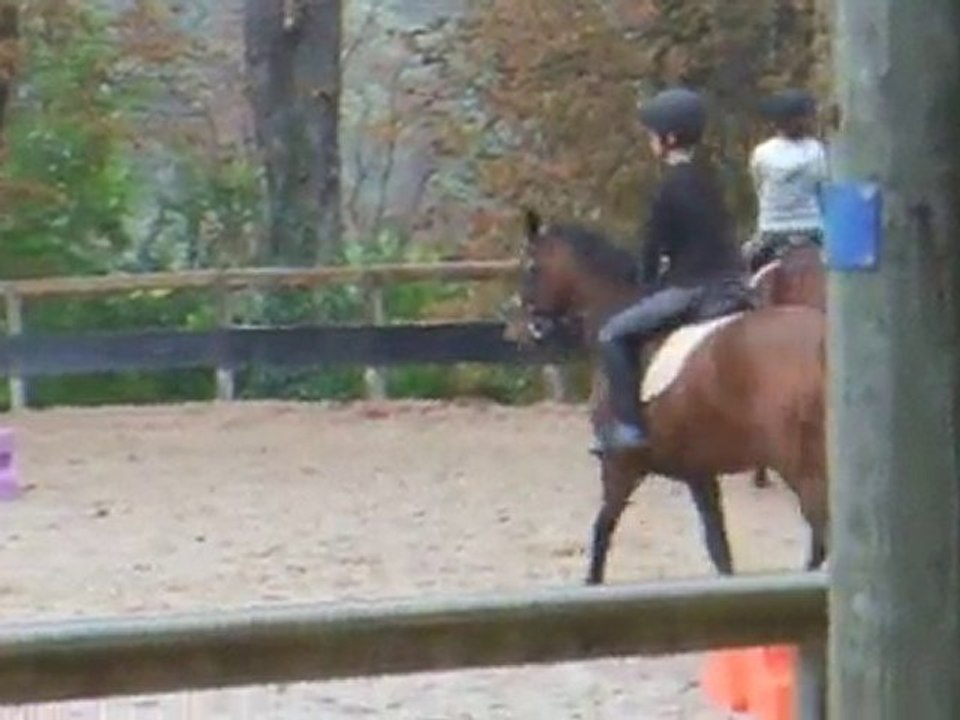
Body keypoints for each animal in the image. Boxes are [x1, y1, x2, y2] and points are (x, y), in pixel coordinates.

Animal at [518, 210, 828, 584]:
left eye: (531, 267)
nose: (530, 329)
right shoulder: (699, 471)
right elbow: (719, 549)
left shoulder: (620, 466)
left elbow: (602, 530)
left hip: (803, 468)